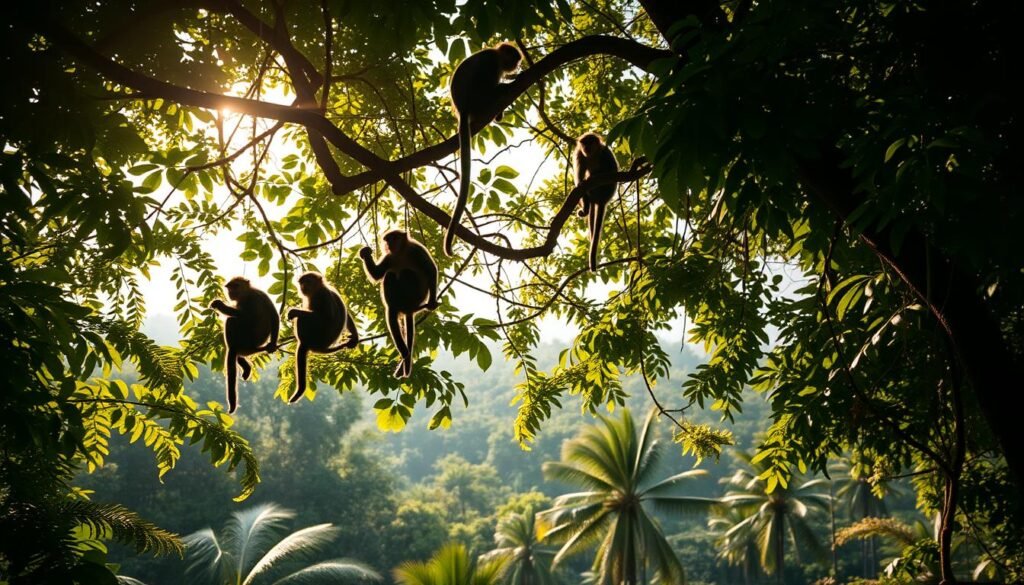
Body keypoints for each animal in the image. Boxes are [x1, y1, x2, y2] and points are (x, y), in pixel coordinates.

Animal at [209, 277, 280, 414]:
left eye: (235, 286)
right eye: (229, 287)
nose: (230, 292)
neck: (249, 293)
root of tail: (253, 347)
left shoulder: (251, 299)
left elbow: (245, 316)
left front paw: (220, 305)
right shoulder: (262, 294)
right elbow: (274, 316)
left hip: (246, 339)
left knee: (231, 321)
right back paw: (244, 362)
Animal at [287, 271, 359, 403]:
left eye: (308, 281)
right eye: (302, 282)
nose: (303, 286)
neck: (319, 289)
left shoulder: (322, 296)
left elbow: (326, 318)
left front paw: (294, 310)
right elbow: (347, 314)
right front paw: (355, 337)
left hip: (316, 335)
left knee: (302, 319)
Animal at [359, 230, 439, 378]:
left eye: (393, 238)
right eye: (387, 239)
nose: (388, 244)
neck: (401, 252)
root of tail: (409, 308)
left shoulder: (416, 250)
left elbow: (431, 270)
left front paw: (432, 301)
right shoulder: (389, 257)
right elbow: (378, 274)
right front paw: (365, 253)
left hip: (417, 295)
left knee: (406, 272)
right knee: (389, 276)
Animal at [444, 41, 523, 256]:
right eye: (514, 59)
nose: (516, 66)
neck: (497, 56)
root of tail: (463, 110)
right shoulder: (490, 62)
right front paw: (511, 81)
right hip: (477, 99)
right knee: (485, 87)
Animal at [574, 132, 619, 272]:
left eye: (590, 142)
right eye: (584, 143)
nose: (586, 147)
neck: (592, 155)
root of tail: (602, 199)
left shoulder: (605, 151)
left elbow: (612, 170)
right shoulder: (579, 154)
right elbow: (579, 180)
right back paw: (586, 207)